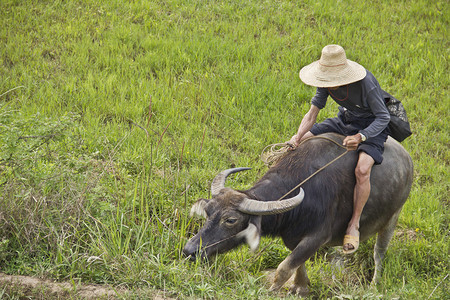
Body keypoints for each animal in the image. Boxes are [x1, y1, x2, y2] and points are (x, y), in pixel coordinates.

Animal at [182, 133, 412, 296]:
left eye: (230, 220)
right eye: (208, 211)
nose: (189, 250)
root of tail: (407, 159)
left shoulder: (317, 237)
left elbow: (284, 268)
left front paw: (272, 291)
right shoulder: (293, 238)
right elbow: (297, 263)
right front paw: (301, 287)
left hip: (393, 216)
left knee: (379, 252)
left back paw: (374, 285)